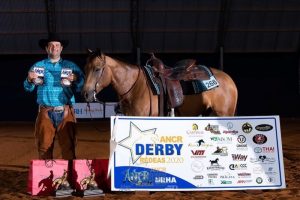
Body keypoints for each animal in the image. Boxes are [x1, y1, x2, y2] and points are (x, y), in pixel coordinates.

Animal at [81, 49, 237, 116]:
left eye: (97, 69)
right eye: (85, 68)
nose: (86, 94)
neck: (135, 87)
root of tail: (229, 79)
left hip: (224, 114)